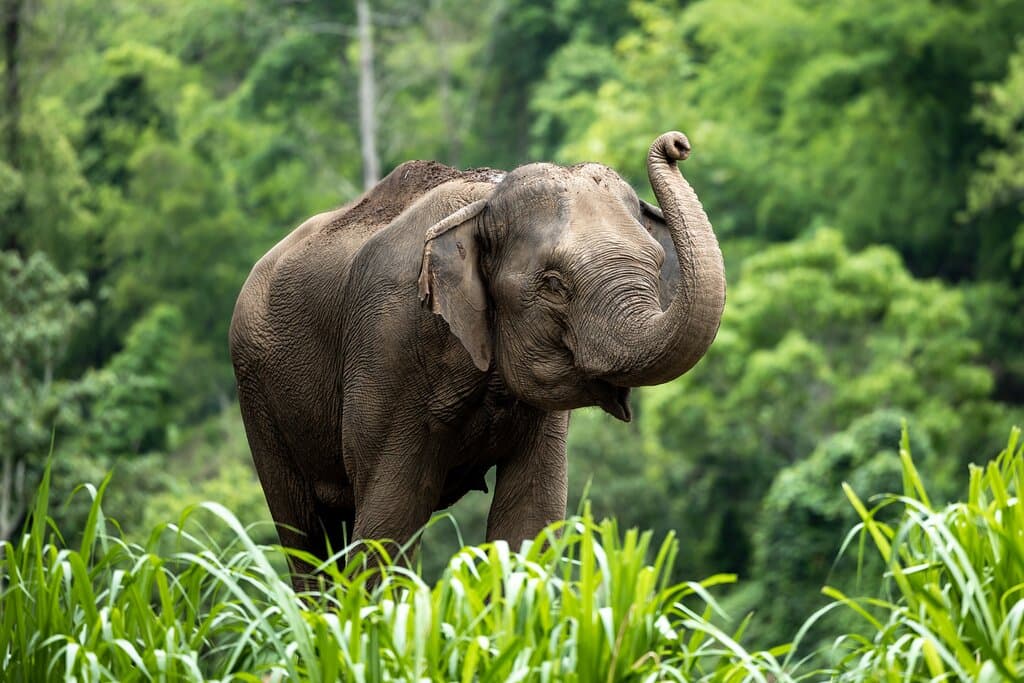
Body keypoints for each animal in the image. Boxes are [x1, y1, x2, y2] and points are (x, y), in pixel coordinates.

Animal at [229, 131, 725, 587]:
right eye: (553, 284)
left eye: (656, 264)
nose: (677, 143)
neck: (485, 201)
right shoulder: (388, 345)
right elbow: (390, 522)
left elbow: (530, 517)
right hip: (257, 393)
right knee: (307, 535)